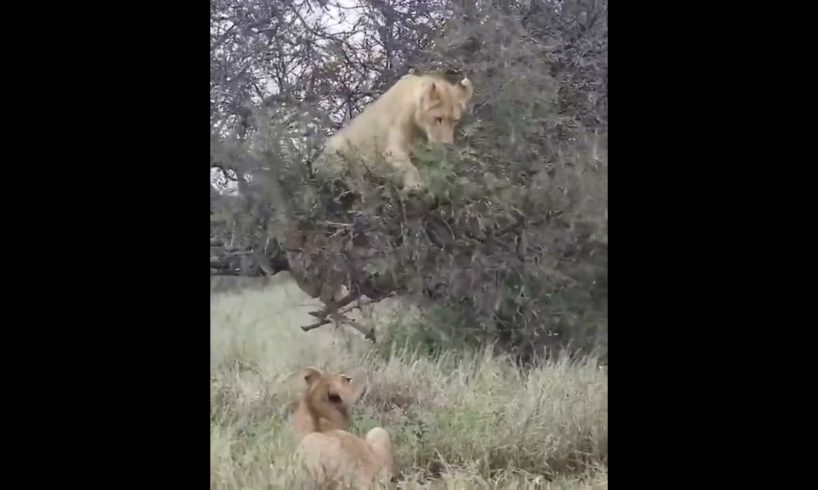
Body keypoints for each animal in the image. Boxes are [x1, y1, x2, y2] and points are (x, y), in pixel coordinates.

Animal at [318, 72, 474, 193]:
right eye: (438, 119)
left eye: (455, 121)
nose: (447, 145)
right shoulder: (392, 149)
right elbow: (408, 166)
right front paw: (415, 186)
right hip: (337, 146)